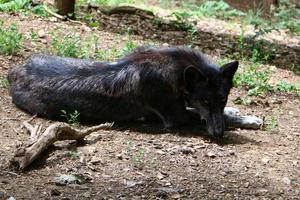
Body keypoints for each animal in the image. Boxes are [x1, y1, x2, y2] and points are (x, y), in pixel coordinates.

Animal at [7, 47, 238, 138]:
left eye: (223, 99)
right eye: (205, 101)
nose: (219, 134)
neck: (176, 69)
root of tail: (13, 71)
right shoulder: (176, 117)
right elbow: (213, 117)